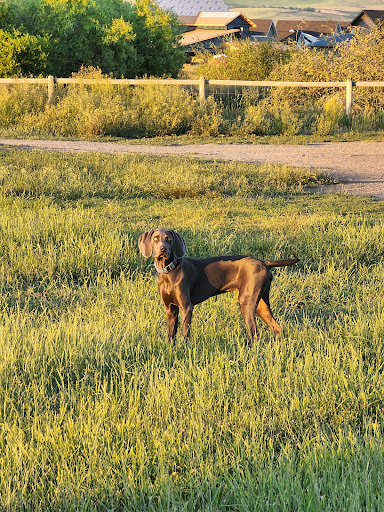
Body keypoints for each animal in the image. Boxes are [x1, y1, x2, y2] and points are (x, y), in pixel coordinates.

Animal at [140, 229, 298, 344]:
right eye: (155, 238)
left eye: (169, 239)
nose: (163, 249)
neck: (169, 272)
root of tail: (264, 262)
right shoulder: (170, 309)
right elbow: (171, 333)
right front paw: (170, 349)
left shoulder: (186, 307)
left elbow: (185, 332)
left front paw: (184, 349)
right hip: (260, 304)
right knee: (276, 328)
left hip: (246, 302)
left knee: (254, 333)